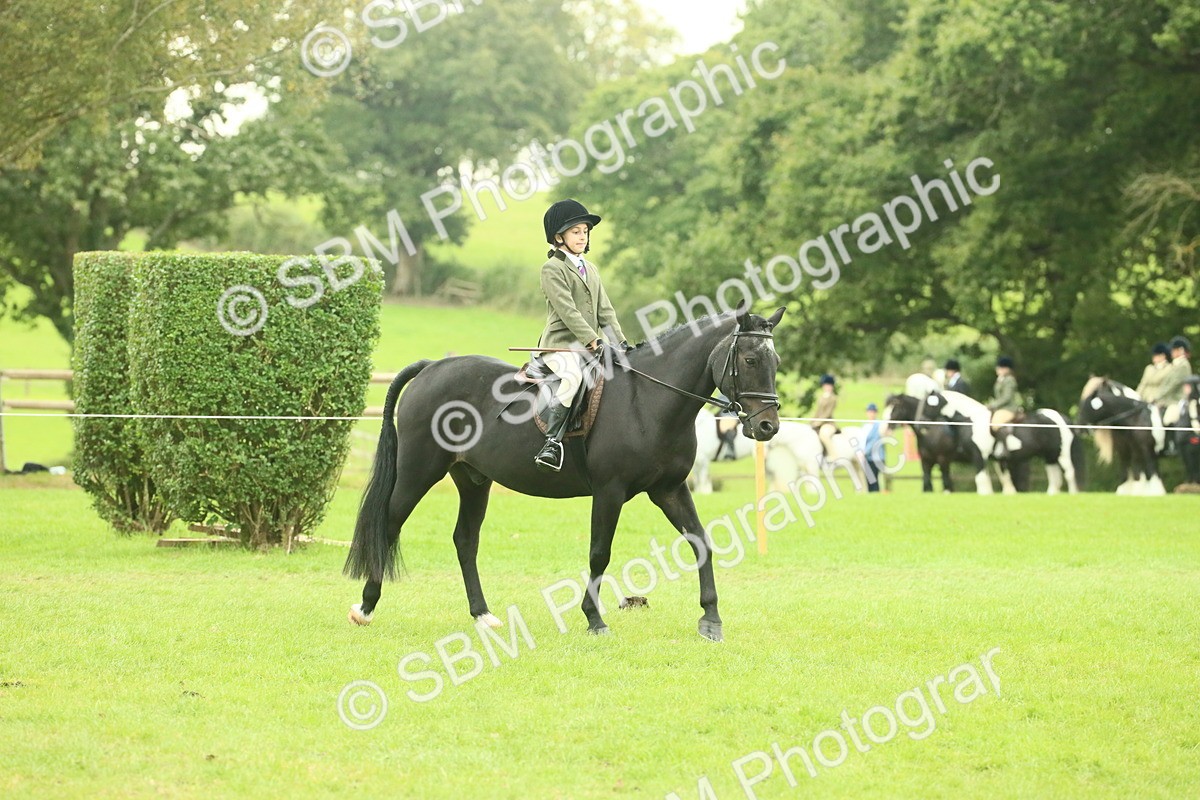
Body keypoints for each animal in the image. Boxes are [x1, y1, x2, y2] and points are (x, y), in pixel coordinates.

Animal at [344, 305, 786, 642]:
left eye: (775, 362)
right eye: (749, 360)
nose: (767, 427)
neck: (649, 400)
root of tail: (432, 367)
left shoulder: (670, 490)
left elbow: (701, 542)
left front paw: (710, 620)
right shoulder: (610, 491)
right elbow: (599, 552)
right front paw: (594, 619)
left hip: (472, 479)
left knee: (465, 541)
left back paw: (483, 615)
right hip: (419, 471)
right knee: (389, 524)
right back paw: (365, 607)